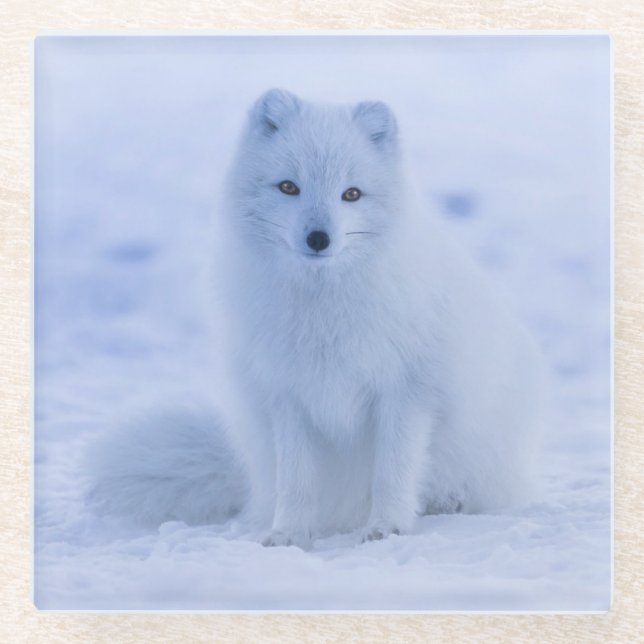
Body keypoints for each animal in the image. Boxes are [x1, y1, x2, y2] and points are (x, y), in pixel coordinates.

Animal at [87, 89, 546, 549]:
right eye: (289, 186)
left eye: (352, 194)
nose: (319, 238)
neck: (323, 309)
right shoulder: (288, 395)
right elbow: (296, 481)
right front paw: (288, 534)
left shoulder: (407, 392)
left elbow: (393, 471)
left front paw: (388, 527)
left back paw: (447, 502)